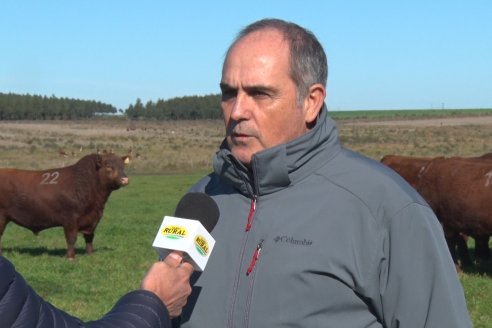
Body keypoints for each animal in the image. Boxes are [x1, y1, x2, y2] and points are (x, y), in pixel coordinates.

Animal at [0, 153, 131, 258]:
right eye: (108, 166)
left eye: (123, 166)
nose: (125, 179)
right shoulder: (70, 219)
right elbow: (71, 238)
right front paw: (71, 257)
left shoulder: (93, 219)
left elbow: (89, 238)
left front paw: (90, 254)